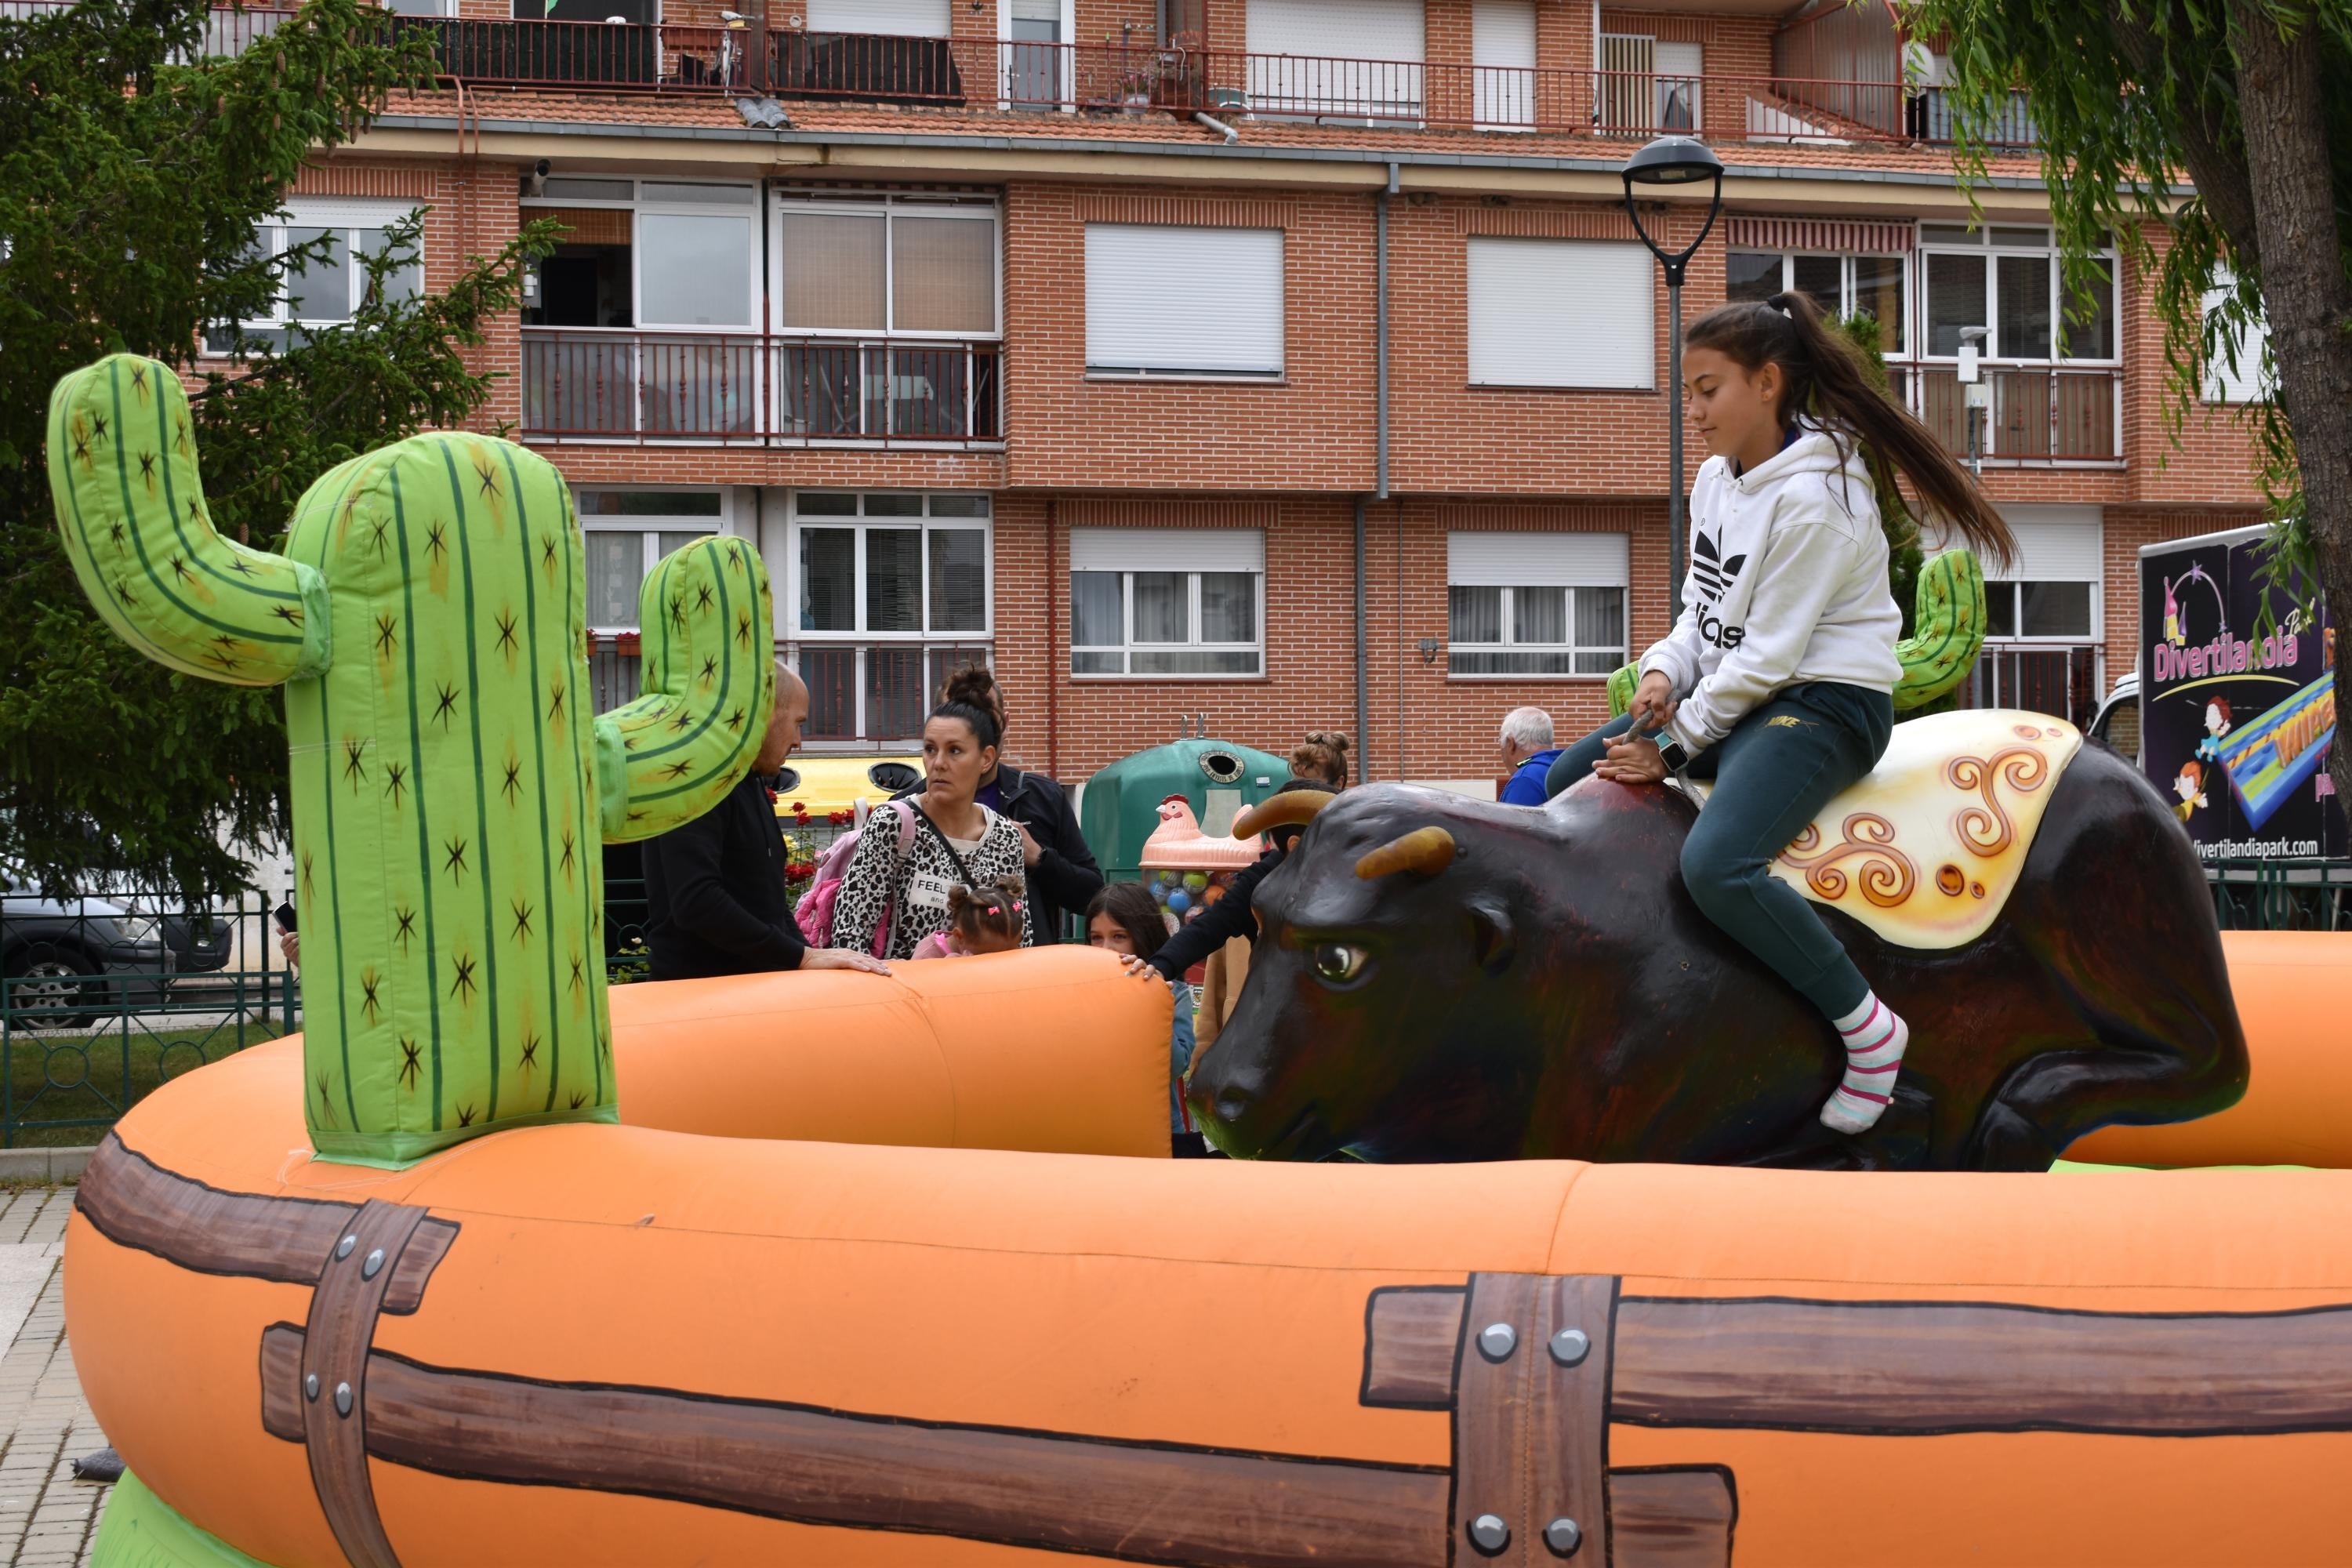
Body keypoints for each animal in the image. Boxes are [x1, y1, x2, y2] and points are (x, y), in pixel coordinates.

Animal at [1185, 752, 2249, 1175]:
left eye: (1342, 959)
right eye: (1260, 922)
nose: (1214, 1098)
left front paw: (1894, 1121)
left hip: (2120, 908)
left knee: (2216, 1064)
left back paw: (2009, 1115)